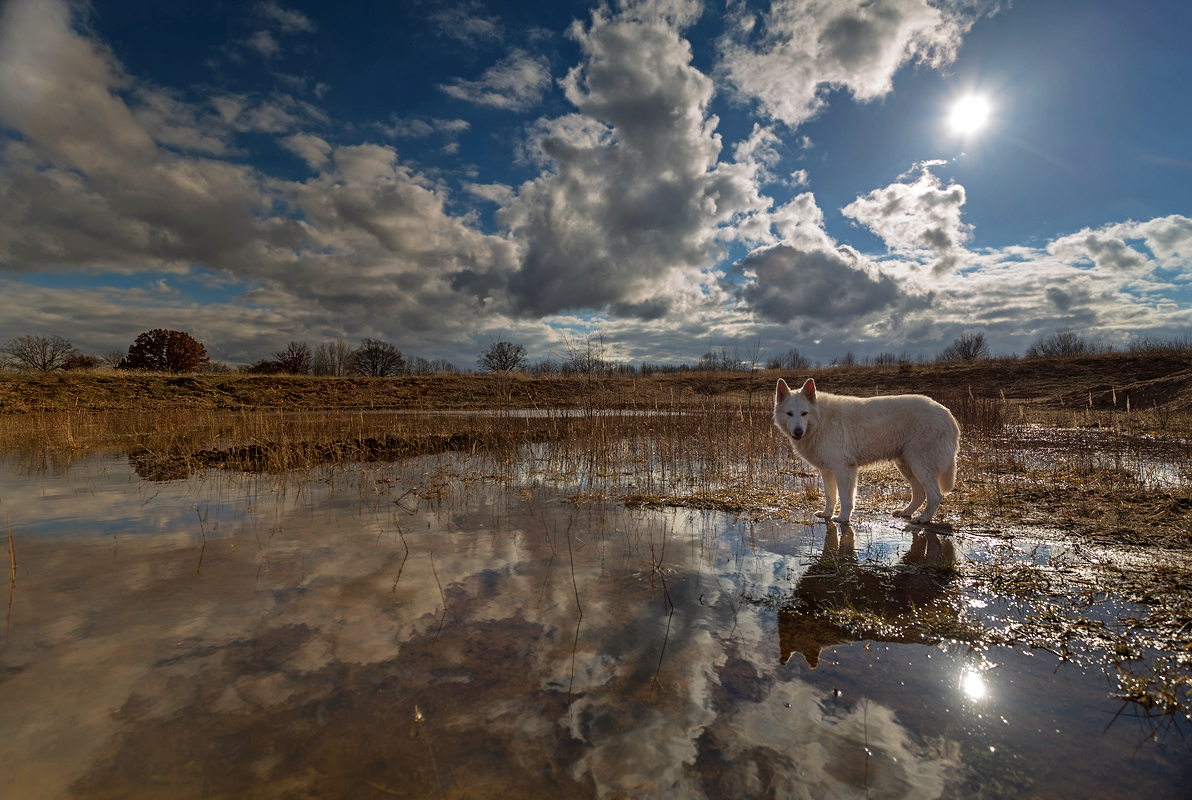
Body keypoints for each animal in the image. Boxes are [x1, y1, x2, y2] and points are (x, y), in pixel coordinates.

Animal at [772, 379, 958, 524]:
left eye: (804, 413)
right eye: (789, 414)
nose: (798, 432)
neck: (820, 420)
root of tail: (949, 416)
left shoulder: (843, 468)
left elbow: (845, 497)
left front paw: (842, 518)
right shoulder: (827, 470)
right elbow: (830, 495)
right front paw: (826, 514)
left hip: (919, 463)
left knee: (935, 495)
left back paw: (923, 519)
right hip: (906, 464)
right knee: (920, 493)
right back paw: (906, 512)